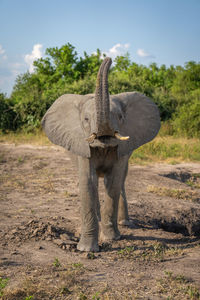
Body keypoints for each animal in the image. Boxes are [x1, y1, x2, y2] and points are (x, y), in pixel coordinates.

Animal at [41, 56, 160, 251]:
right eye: (86, 119)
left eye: (120, 117)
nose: (108, 58)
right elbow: (88, 182)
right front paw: (86, 249)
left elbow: (114, 182)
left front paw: (112, 238)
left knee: (122, 180)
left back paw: (125, 224)